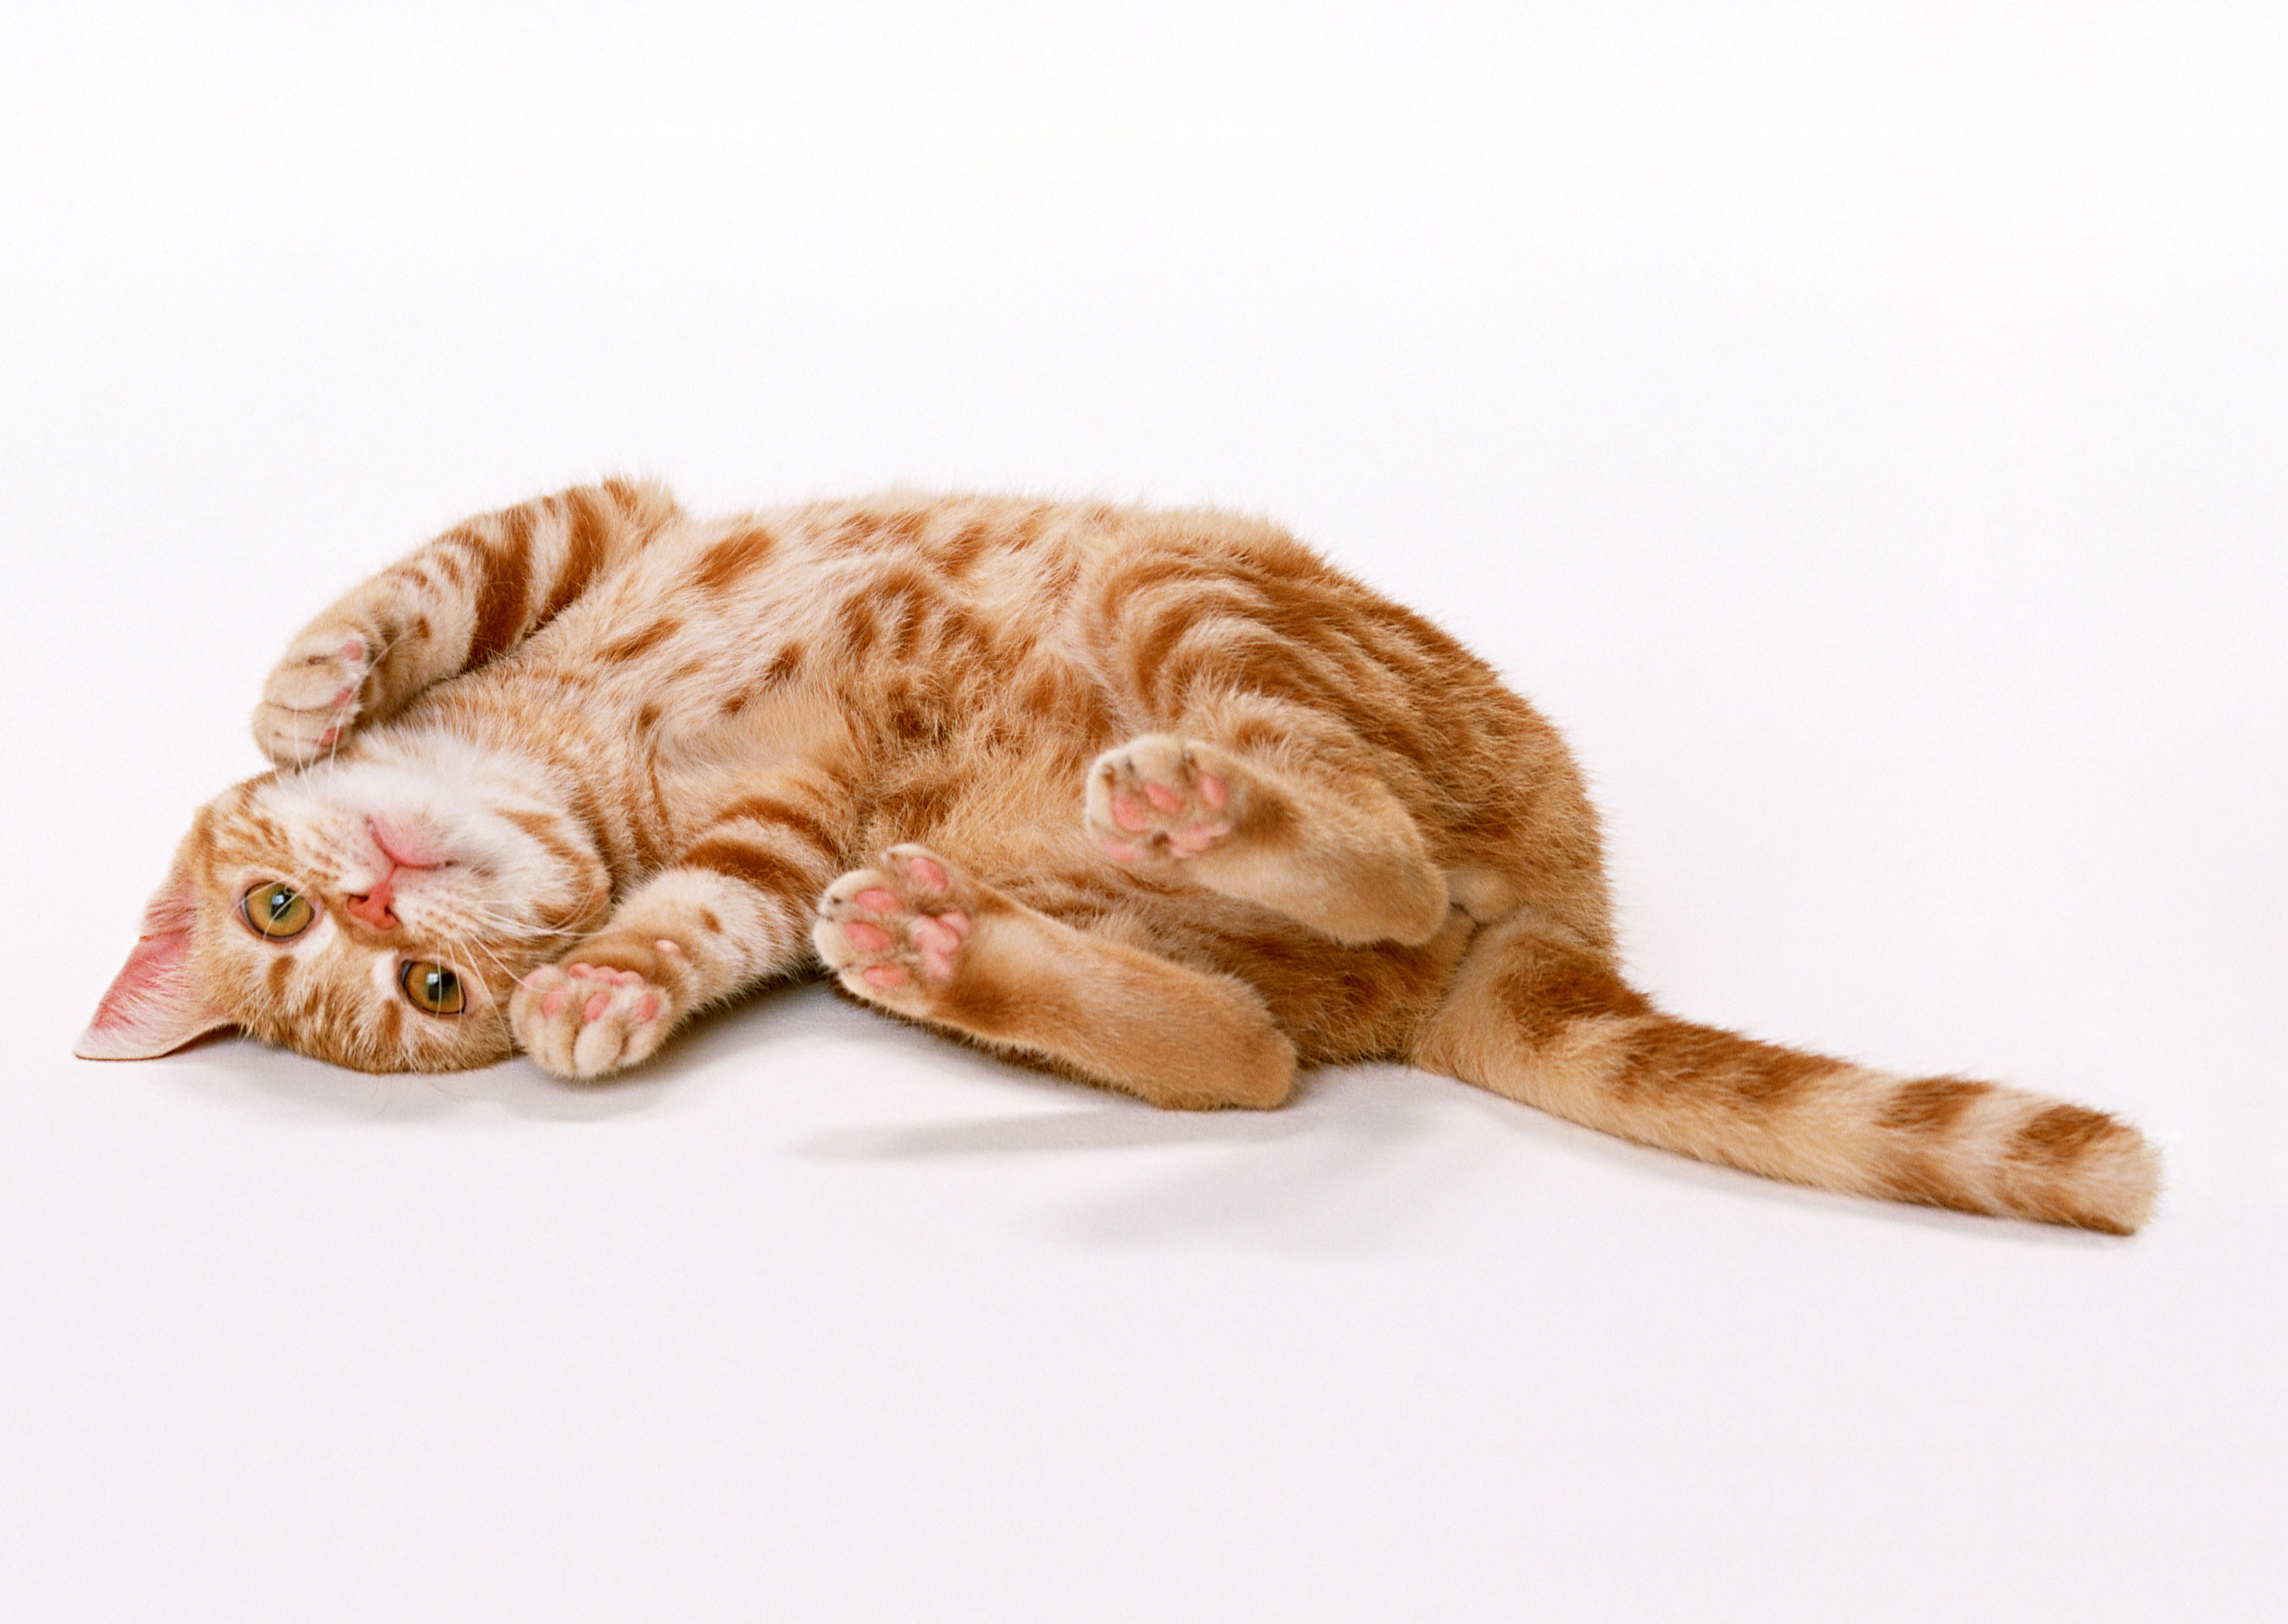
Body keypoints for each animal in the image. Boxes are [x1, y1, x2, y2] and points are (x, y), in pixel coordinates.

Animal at [80, 482, 2159, 1235]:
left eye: (287, 909)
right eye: (418, 992)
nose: (375, 902)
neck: (586, 770)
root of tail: (1552, 909)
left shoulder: (628, 521)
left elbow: (447, 564)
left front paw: (313, 680)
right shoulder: (789, 840)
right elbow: (710, 908)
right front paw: (601, 979)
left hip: (1195, 596)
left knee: (1381, 859)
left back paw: (1201, 809)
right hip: (1133, 903)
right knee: (1246, 1051)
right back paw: (959, 948)